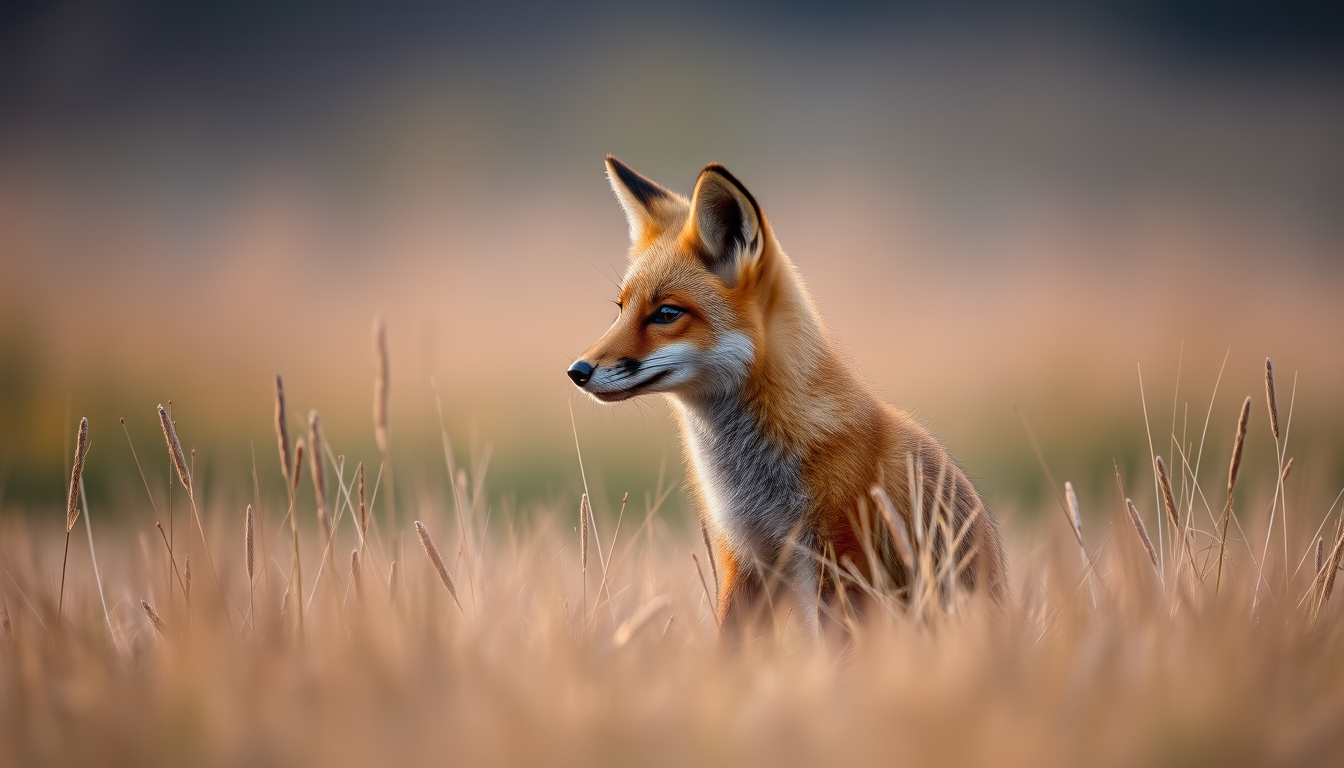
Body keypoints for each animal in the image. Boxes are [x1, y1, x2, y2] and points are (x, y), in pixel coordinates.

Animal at [567, 156, 1007, 636]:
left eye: (666, 313)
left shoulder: (840, 563)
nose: (577, 371)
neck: (752, 477)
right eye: (621, 309)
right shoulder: (742, 558)